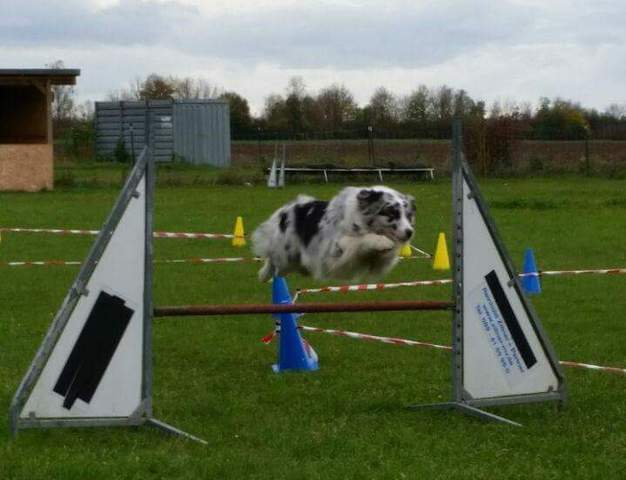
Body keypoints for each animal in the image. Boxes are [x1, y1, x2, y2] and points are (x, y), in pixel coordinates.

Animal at [252, 186, 416, 282]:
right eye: (392, 213)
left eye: (408, 215)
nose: (409, 233)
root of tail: (284, 210)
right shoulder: (336, 249)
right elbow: (360, 239)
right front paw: (382, 241)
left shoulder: (377, 262)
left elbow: (382, 258)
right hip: (286, 254)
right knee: (273, 261)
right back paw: (263, 275)